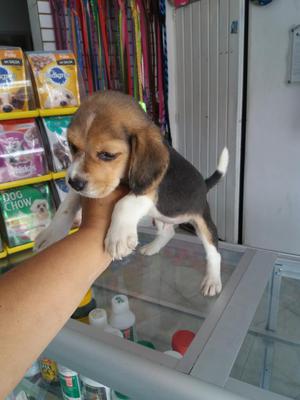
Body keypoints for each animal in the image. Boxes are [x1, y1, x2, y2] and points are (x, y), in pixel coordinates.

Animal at [34, 91, 227, 296]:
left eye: (107, 155)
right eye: (72, 146)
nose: (73, 182)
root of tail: (204, 185)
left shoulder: (148, 191)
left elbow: (124, 203)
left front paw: (118, 237)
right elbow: (66, 205)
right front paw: (50, 235)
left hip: (202, 221)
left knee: (214, 252)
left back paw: (212, 281)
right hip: (160, 217)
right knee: (168, 232)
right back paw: (152, 248)